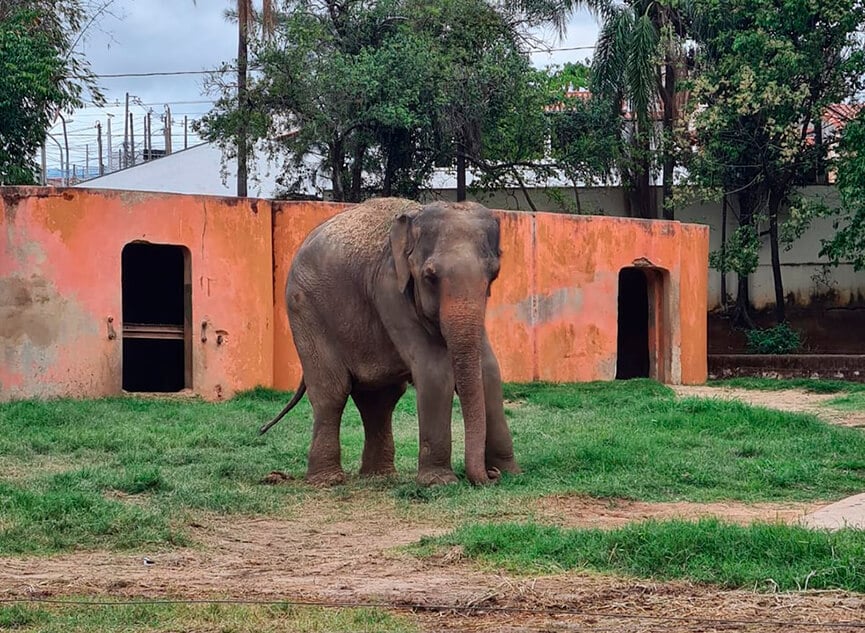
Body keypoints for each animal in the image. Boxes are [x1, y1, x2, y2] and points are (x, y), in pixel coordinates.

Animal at [259, 197, 521, 486]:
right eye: (430, 277)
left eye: (494, 275)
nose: (490, 475)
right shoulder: (388, 289)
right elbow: (434, 370)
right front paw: (439, 482)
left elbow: (488, 369)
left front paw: (511, 472)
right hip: (305, 311)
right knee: (332, 392)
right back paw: (328, 481)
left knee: (379, 398)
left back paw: (378, 476)